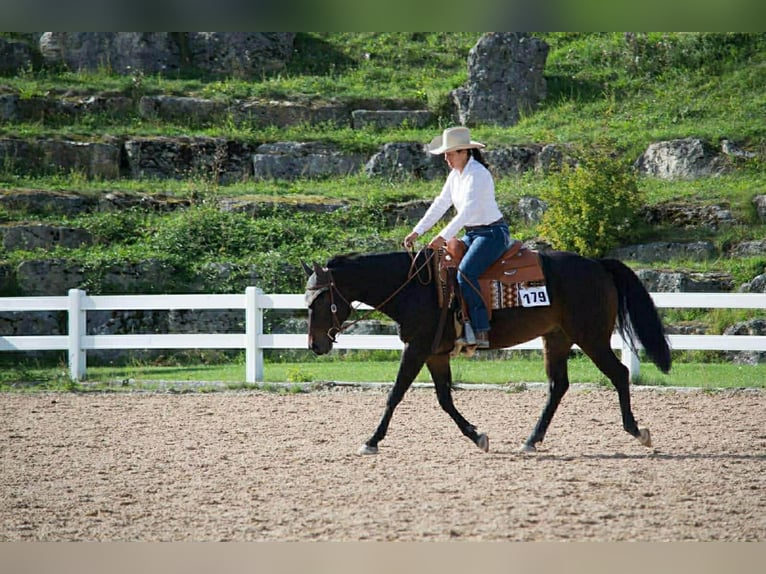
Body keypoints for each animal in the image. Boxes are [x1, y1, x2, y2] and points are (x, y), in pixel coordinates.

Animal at [302, 248, 671, 455]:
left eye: (319, 299)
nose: (315, 345)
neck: (415, 288)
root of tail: (597, 264)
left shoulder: (416, 348)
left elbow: (395, 394)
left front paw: (372, 440)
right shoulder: (435, 353)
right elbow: (444, 399)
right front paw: (477, 435)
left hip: (590, 336)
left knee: (619, 373)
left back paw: (637, 431)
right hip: (557, 338)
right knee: (558, 386)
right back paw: (531, 439)